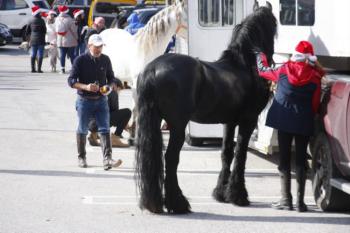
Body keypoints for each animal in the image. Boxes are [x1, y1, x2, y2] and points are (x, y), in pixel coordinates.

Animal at [135, 2, 278, 214]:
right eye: (274, 25)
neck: (243, 65)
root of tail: (153, 69)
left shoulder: (229, 122)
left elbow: (227, 153)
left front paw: (221, 193)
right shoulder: (248, 121)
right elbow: (240, 155)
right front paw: (238, 196)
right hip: (178, 126)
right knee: (171, 158)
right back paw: (178, 203)